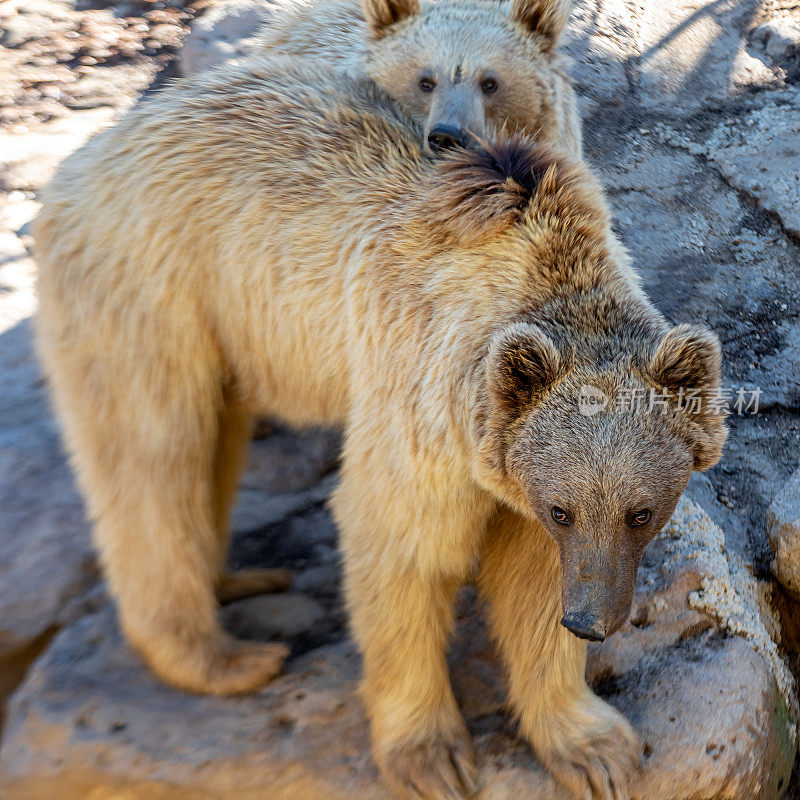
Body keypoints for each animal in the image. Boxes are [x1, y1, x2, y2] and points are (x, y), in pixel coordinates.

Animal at [34, 57, 728, 800]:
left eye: (641, 511)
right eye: (564, 509)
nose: (592, 623)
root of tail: (94, 151)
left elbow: (534, 583)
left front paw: (597, 749)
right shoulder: (426, 394)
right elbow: (400, 546)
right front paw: (433, 758)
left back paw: (240, 581)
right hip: (152, 288)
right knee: (154, 459)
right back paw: (227, 656)